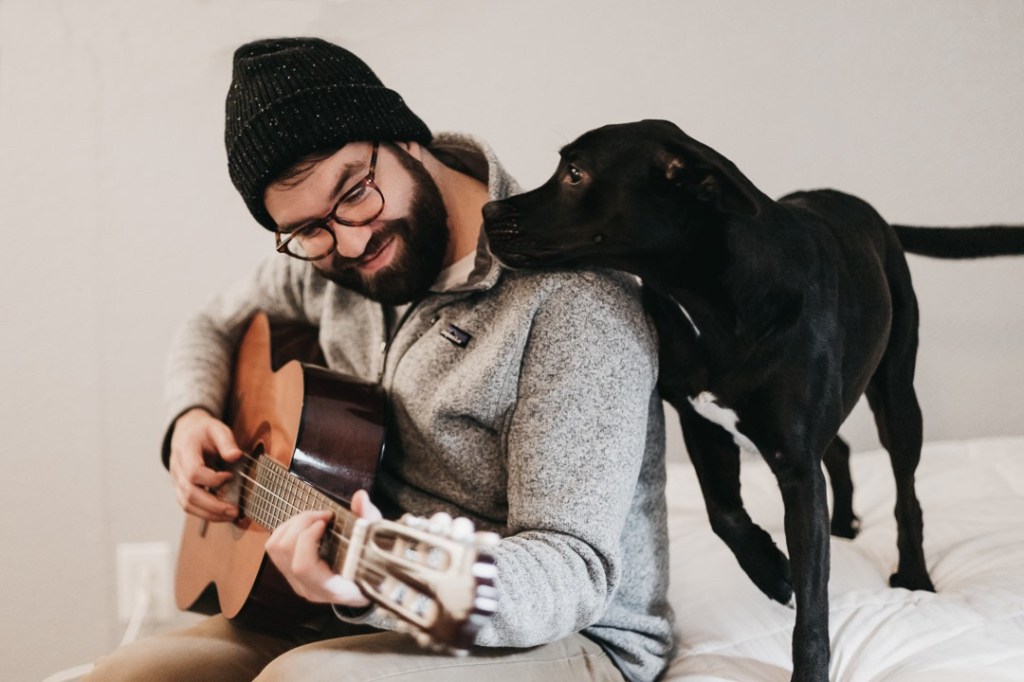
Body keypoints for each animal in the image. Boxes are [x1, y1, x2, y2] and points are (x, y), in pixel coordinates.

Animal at [481, 119, 1024, 679]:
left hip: (896, 394)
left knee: (905, 491)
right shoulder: (702, 421)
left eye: (574, 173)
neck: (714, 302)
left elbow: (813, 605)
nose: (487, 213)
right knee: (840, 450)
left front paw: (809, 660)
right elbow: (725, 514)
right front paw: (773, 570)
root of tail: (871, 214)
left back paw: (914, 575)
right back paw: (843, 522)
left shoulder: (796, 464)